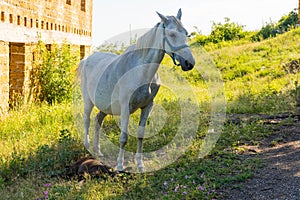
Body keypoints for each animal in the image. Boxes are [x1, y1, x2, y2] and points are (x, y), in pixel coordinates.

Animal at [77, 9, 195, 172]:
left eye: (186, 33)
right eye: (171, 34)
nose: (189, 63)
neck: (141, 71)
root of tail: (86, 60)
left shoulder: (147, 106)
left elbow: (140, 135)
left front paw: (140, 165)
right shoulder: (125, 108)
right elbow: (124, 137)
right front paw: (120, 165)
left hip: (105, 106)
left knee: (97, 120)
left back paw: (98, 151)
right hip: (88, 102)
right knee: (87, 120)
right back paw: (88, 147)